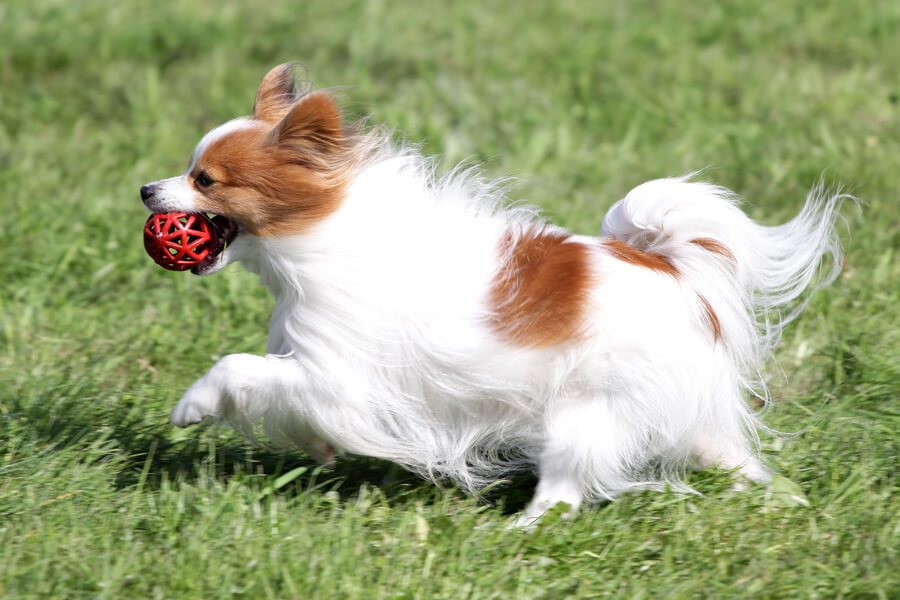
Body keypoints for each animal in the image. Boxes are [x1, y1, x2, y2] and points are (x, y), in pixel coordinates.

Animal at [137, 64, 848, 524]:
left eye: (205, 180)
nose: (146, 189)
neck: (322, 232)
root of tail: (672, 270)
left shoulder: (338, 375)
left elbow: (238, 368)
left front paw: (191, 406)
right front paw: (316, 448)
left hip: (584, 414)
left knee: (563, 493)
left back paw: (522, 529)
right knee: (727, 455)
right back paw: (780, 497)